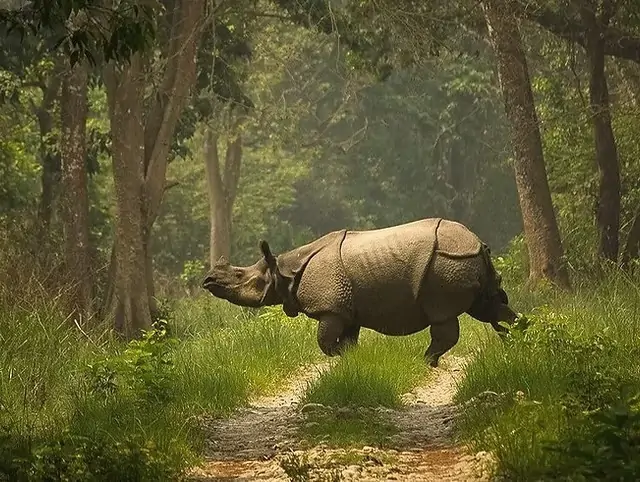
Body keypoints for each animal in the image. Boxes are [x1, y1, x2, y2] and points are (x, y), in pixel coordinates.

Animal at [202, 218, 518, 367]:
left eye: (240, 275)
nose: (208, 280)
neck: (283, 270)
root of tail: (477, 242)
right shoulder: (347, 310)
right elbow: (347, 340)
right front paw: (352, 359)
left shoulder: (331, 308)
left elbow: (325, 342)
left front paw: (343, 356)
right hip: (464, 260)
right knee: (487, 306)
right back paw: (518, 340)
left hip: (447, 261)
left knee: (443, 317)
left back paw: (424, 361)